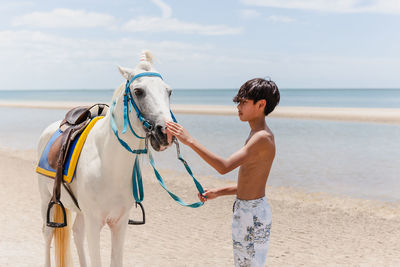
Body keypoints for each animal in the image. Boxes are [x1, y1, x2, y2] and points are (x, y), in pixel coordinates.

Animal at [37, 50, 173, 267]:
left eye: (168, 92)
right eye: (138, 91)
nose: (166, 133)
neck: (109, 165)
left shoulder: (119, 223)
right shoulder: (94, 223)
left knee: (77, 232)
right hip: (45, 199)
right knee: (48, 232)